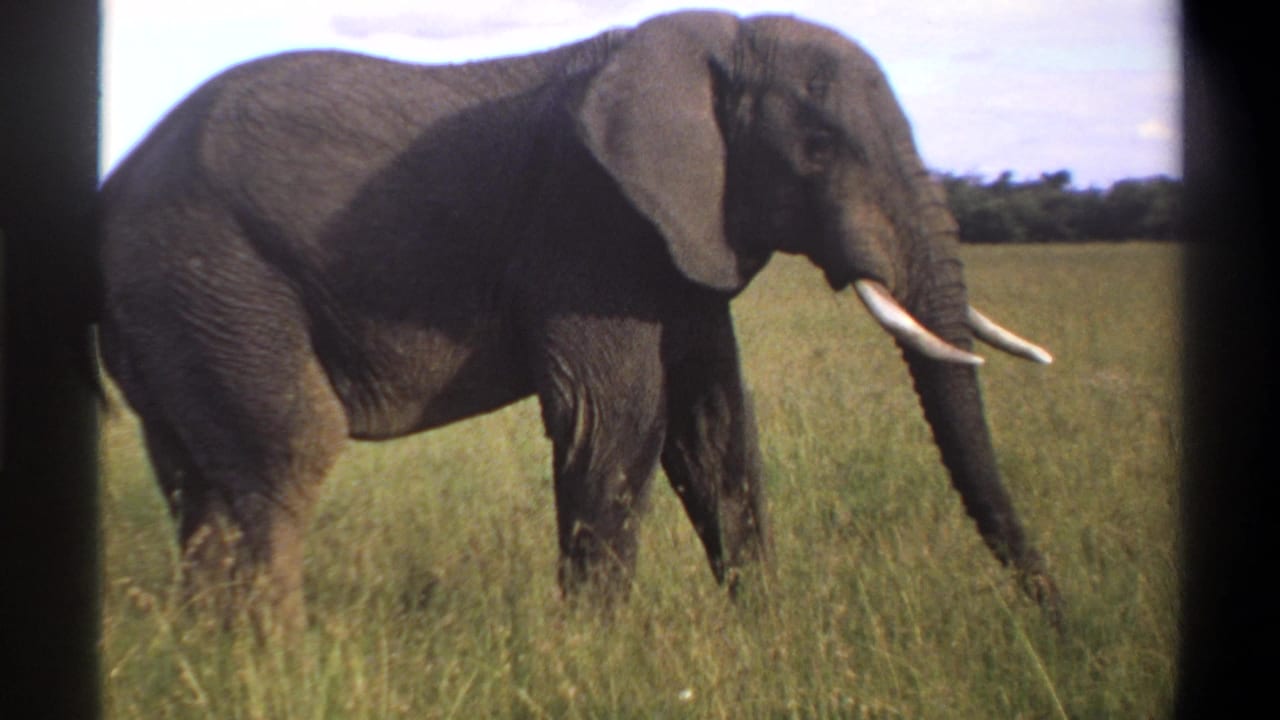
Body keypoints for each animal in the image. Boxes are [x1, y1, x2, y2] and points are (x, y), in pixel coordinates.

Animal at [97, 10, 1062, 635]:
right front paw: (598, 659)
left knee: (197, 485)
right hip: (212, 277)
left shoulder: (681, 243)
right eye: (818, 149)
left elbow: (715, 430)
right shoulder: (587, 225)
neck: (717, 43)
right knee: (286, 454)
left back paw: (212, 657)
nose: (1056, 622)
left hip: (174, 311)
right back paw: (284, 665)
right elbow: (617, 419)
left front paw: (767, 635)